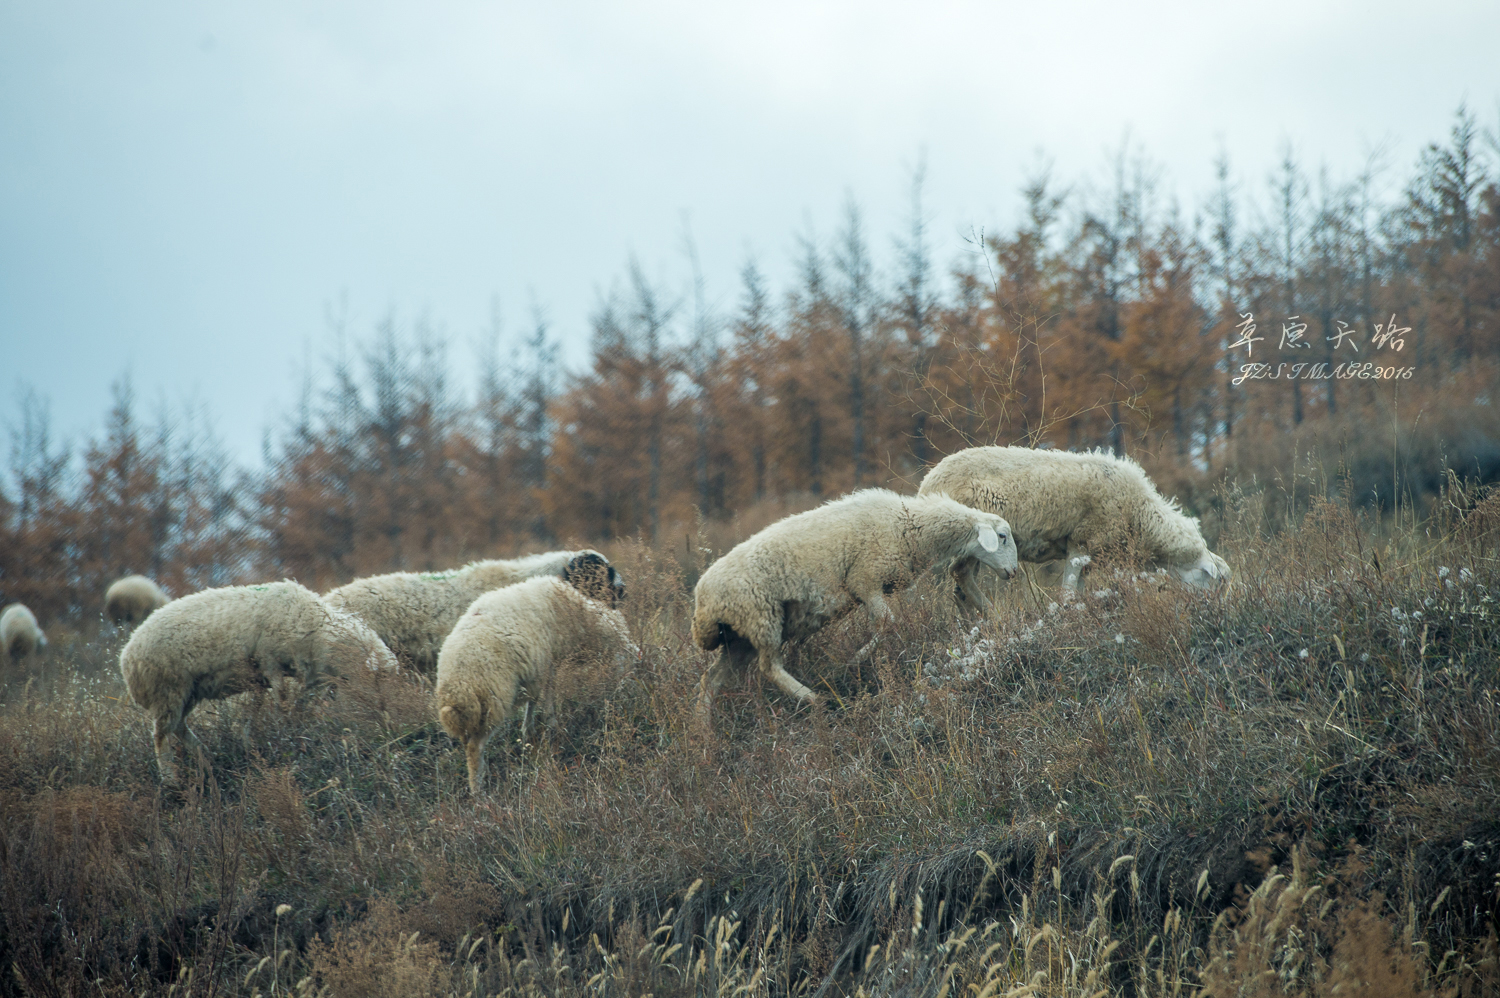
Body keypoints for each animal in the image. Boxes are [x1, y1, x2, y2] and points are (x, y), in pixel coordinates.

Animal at [120, 579, 399, 780]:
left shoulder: (265, 676)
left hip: (187, 693)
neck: (317, 630)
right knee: (161, 736)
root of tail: (127, 655)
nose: (388, 721)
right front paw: (286, 733)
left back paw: (203, 757)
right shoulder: (270, 662)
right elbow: (283, 702)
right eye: (378, 679)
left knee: (178, 726)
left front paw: (252, 742)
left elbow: (260, 711)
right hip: (168, 691)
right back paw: (170, 778)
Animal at [438, 549, 639, 792]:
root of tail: (456, 687)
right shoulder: (546, 663)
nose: (623, 591)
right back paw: (478, 789)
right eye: (606, 571)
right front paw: (552, 730)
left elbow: (533, 702)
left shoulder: (537, 666)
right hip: (494, 699)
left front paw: (529, 733)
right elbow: (548, 701)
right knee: (475, 747)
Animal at [690, 486, 1020, 720]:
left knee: (711, 680)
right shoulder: (865, 581)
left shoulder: (871, 589)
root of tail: (703, 601)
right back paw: (814, 699)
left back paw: (703, 733)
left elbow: (884, 625)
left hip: (739, 637)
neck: (911, 525)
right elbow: (888, 624)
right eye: (1003, 536)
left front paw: (858, 658)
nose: (1014, 572)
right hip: (761, 618)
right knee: (768, 668)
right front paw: (854, 659)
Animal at [912, 444, 1230, 600]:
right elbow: (1067, 593)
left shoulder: (1088, 556)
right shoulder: (1082, 544)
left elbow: (1078, 591)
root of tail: (927, 483)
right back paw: (988, 614)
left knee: (960, 583)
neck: (1140, 516)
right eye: (1214, 582)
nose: (1214, 612)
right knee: (960, 575)